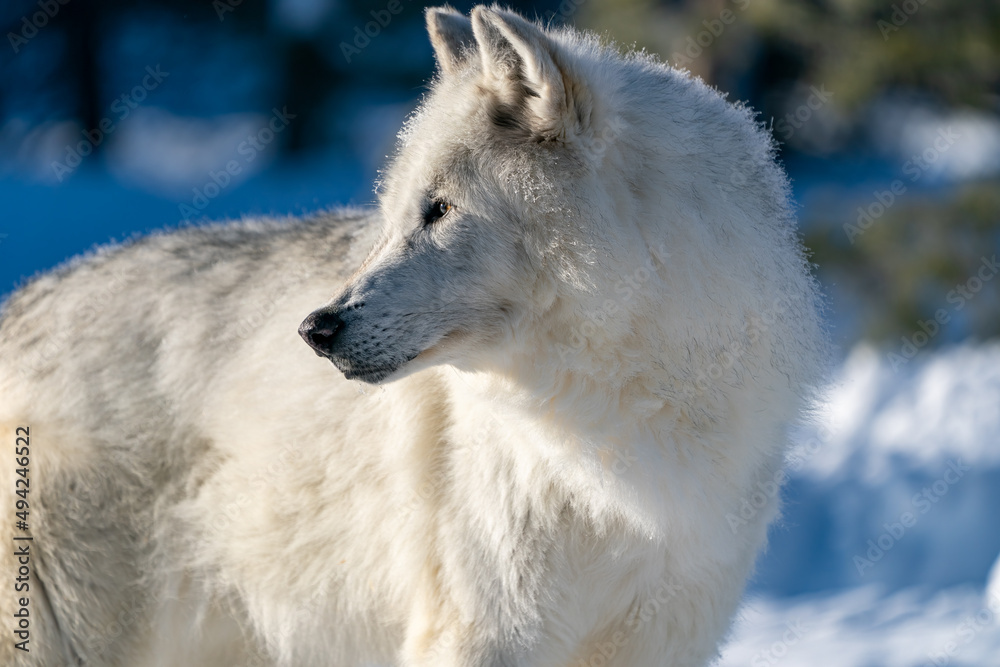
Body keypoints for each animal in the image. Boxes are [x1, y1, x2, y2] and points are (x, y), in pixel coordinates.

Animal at [0, 5, 825, 666]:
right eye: (398, 211)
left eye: (439, 210)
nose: (316, 328)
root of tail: (17, 306)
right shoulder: (485, 633)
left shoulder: (664, 635)